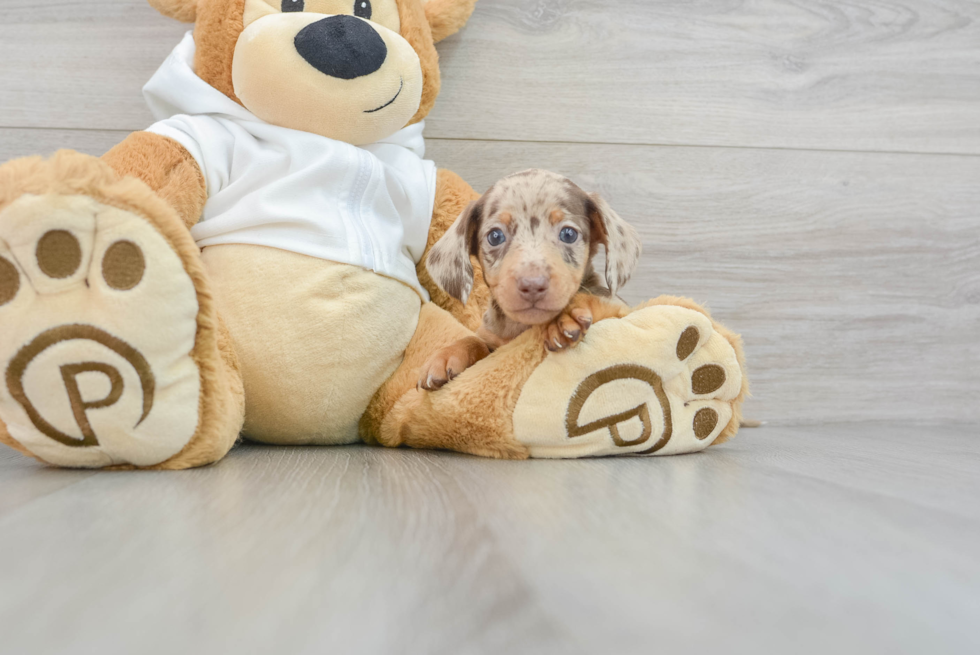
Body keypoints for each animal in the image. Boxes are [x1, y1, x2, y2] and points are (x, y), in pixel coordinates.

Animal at [420, 169, 644, 392]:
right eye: (495, 236)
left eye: (568, 234)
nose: (533, 284)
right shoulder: (493, 343)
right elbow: (476, 341)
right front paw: (448, 354)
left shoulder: (623, 310)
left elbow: (595, 299)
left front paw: (563, 318)